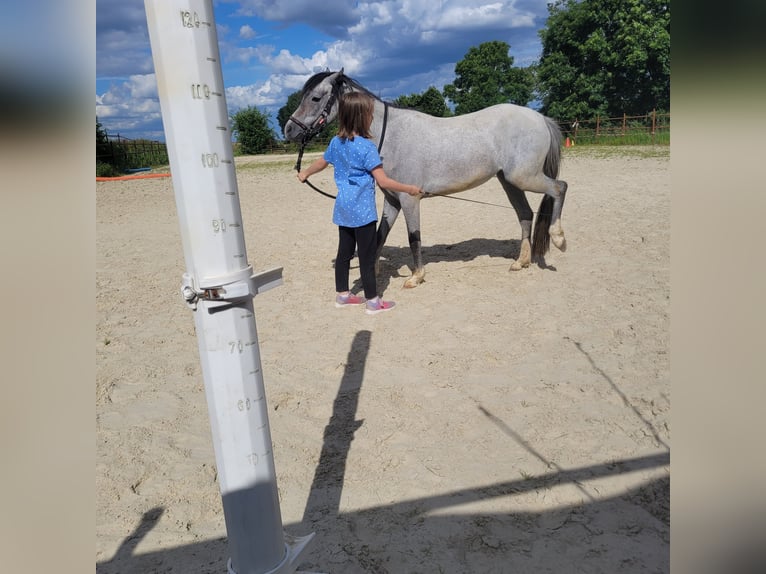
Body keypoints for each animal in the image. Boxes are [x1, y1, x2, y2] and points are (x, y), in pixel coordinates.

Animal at [284, 72, 568, 288]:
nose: (289, 129)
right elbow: (380, 236)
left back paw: (558, 238)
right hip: (509, 181)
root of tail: (540, 117)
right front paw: (372, 272)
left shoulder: (410, 199)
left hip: (525, 177)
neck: (391, 136)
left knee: (559, 188)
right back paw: (521, 262)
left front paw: (416, 277)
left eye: (315, 97)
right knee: (525, 214)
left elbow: (414, 236)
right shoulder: (392, 201)